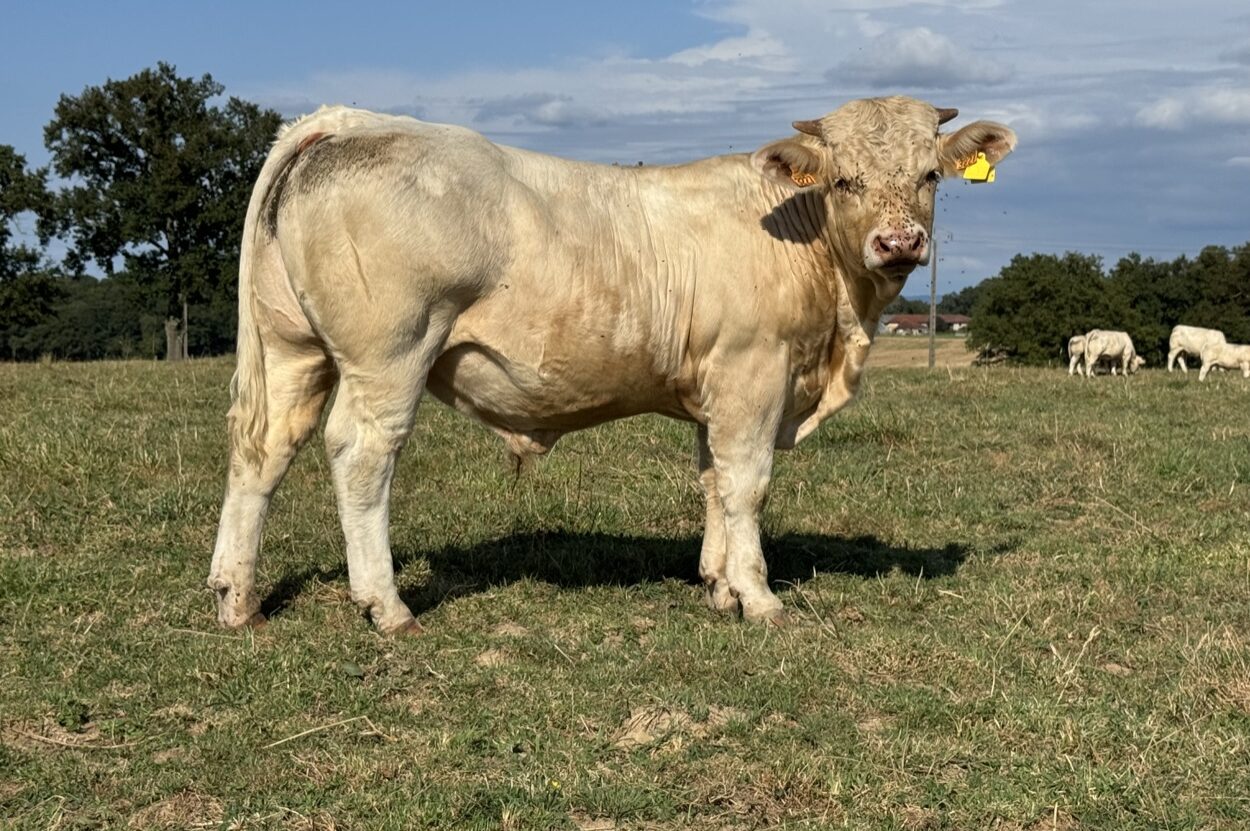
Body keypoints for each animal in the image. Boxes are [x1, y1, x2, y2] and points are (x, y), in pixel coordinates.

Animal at [208, 97, 1016, 633]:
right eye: (844, 180)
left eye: (930, 176)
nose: (900, 242)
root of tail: (352, 118)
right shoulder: (754, 372)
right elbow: (747, 484)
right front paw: (758, 596)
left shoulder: (716, 387)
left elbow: (713, 480)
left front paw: (718, 583)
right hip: (391, 353)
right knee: (361, 454)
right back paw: (387, 605)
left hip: (293, 348)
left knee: (263, 451)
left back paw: (238, 599)